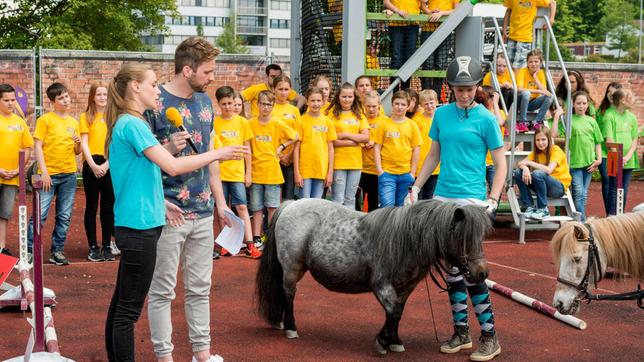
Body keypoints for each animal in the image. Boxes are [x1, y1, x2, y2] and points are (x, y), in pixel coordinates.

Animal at [254, 198, 490, 354]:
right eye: (462, 238)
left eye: (481, 236)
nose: (482, 273)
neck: (405, 241)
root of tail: (291, 204)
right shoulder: (381, 285)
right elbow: (393, 311)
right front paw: (382, 342)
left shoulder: (405, 289)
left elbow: (397, 313)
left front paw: (394, 341)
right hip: (292, 268)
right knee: (289, 294)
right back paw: (291, 327)